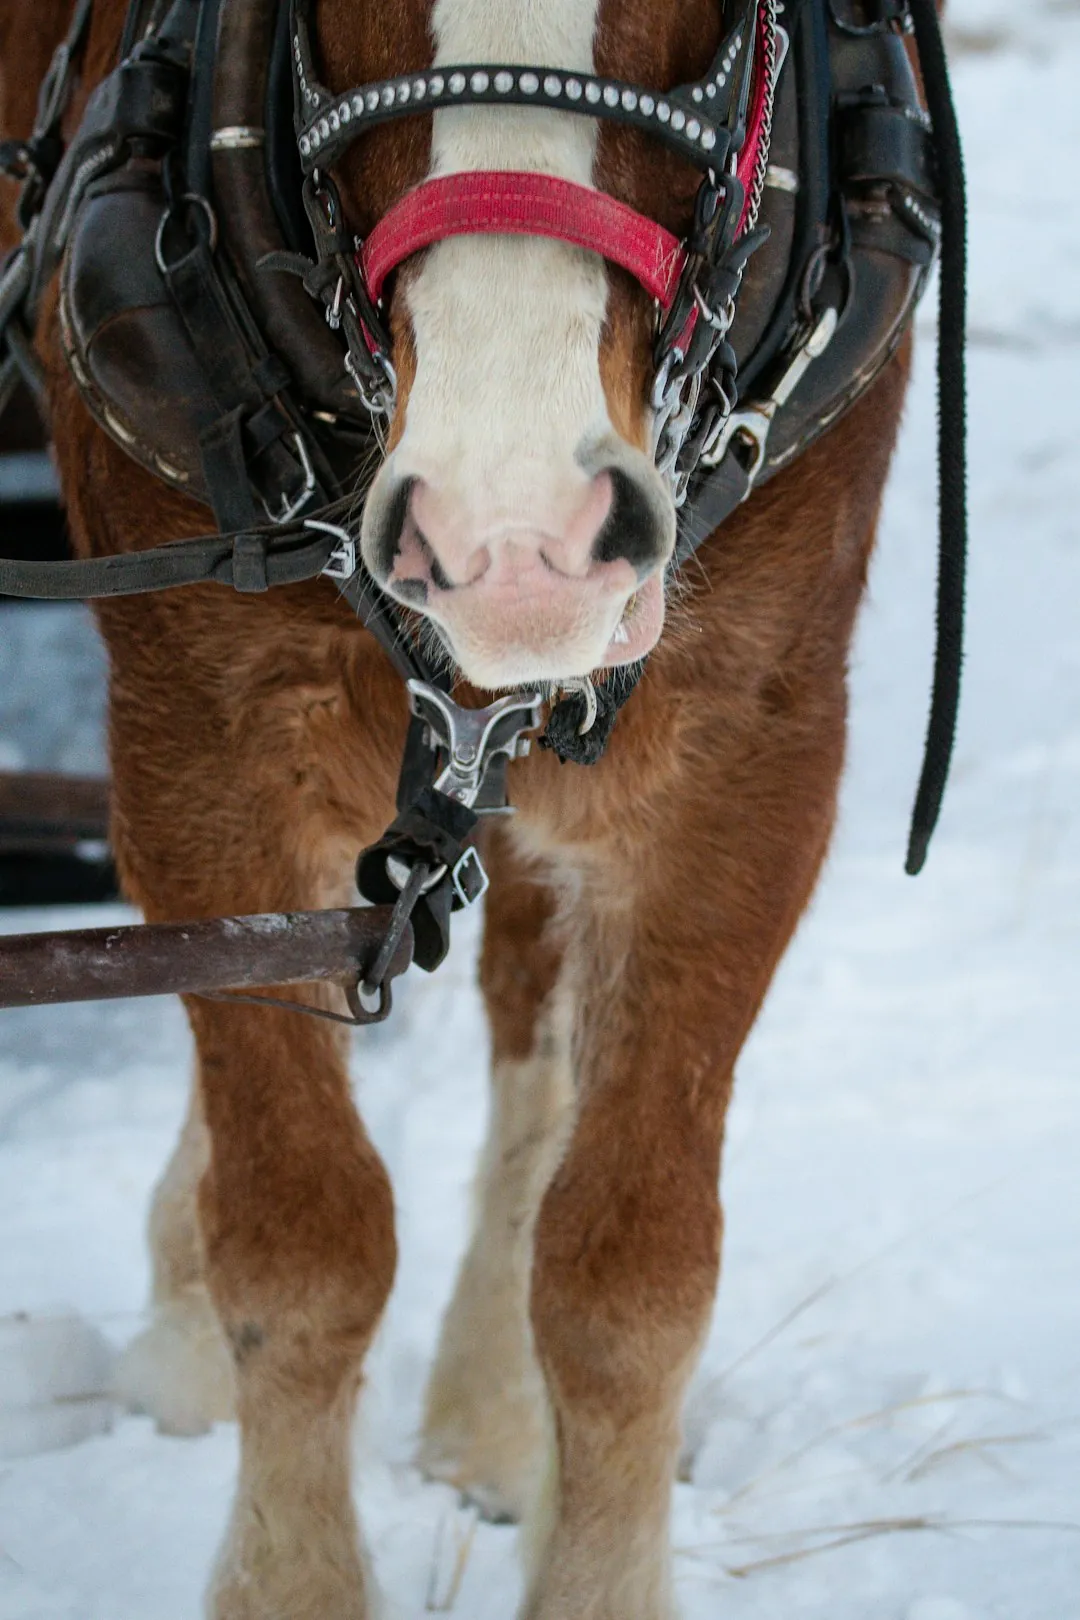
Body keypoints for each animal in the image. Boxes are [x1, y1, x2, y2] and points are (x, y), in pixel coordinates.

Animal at [1, 0, 928, 1614]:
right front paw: (291, 1577)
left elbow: (628, 1279)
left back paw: (491, 1423)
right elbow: (301, 1241)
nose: (516, 542)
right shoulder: (202, 748)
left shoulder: (746, 766)